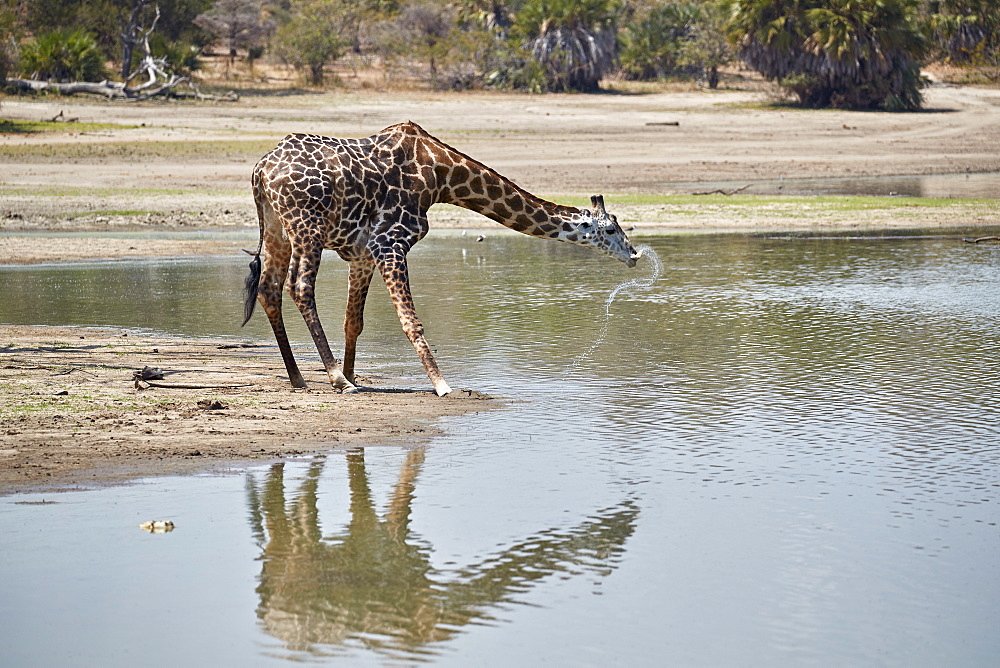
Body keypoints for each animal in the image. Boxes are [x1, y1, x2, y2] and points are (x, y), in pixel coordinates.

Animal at [242, 120, 640, 394]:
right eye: (609, 229)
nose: (634, 255)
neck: (441, 176)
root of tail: (260, 170)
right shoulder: (391, 242)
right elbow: (411, 321)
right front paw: (442, 384)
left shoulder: (363, 254)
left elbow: (353, 321)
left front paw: (356, 373)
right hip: (307, 227)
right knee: (300, 286)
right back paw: (336, 379)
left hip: (278, 229)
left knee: (270, 288)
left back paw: (299, 378)